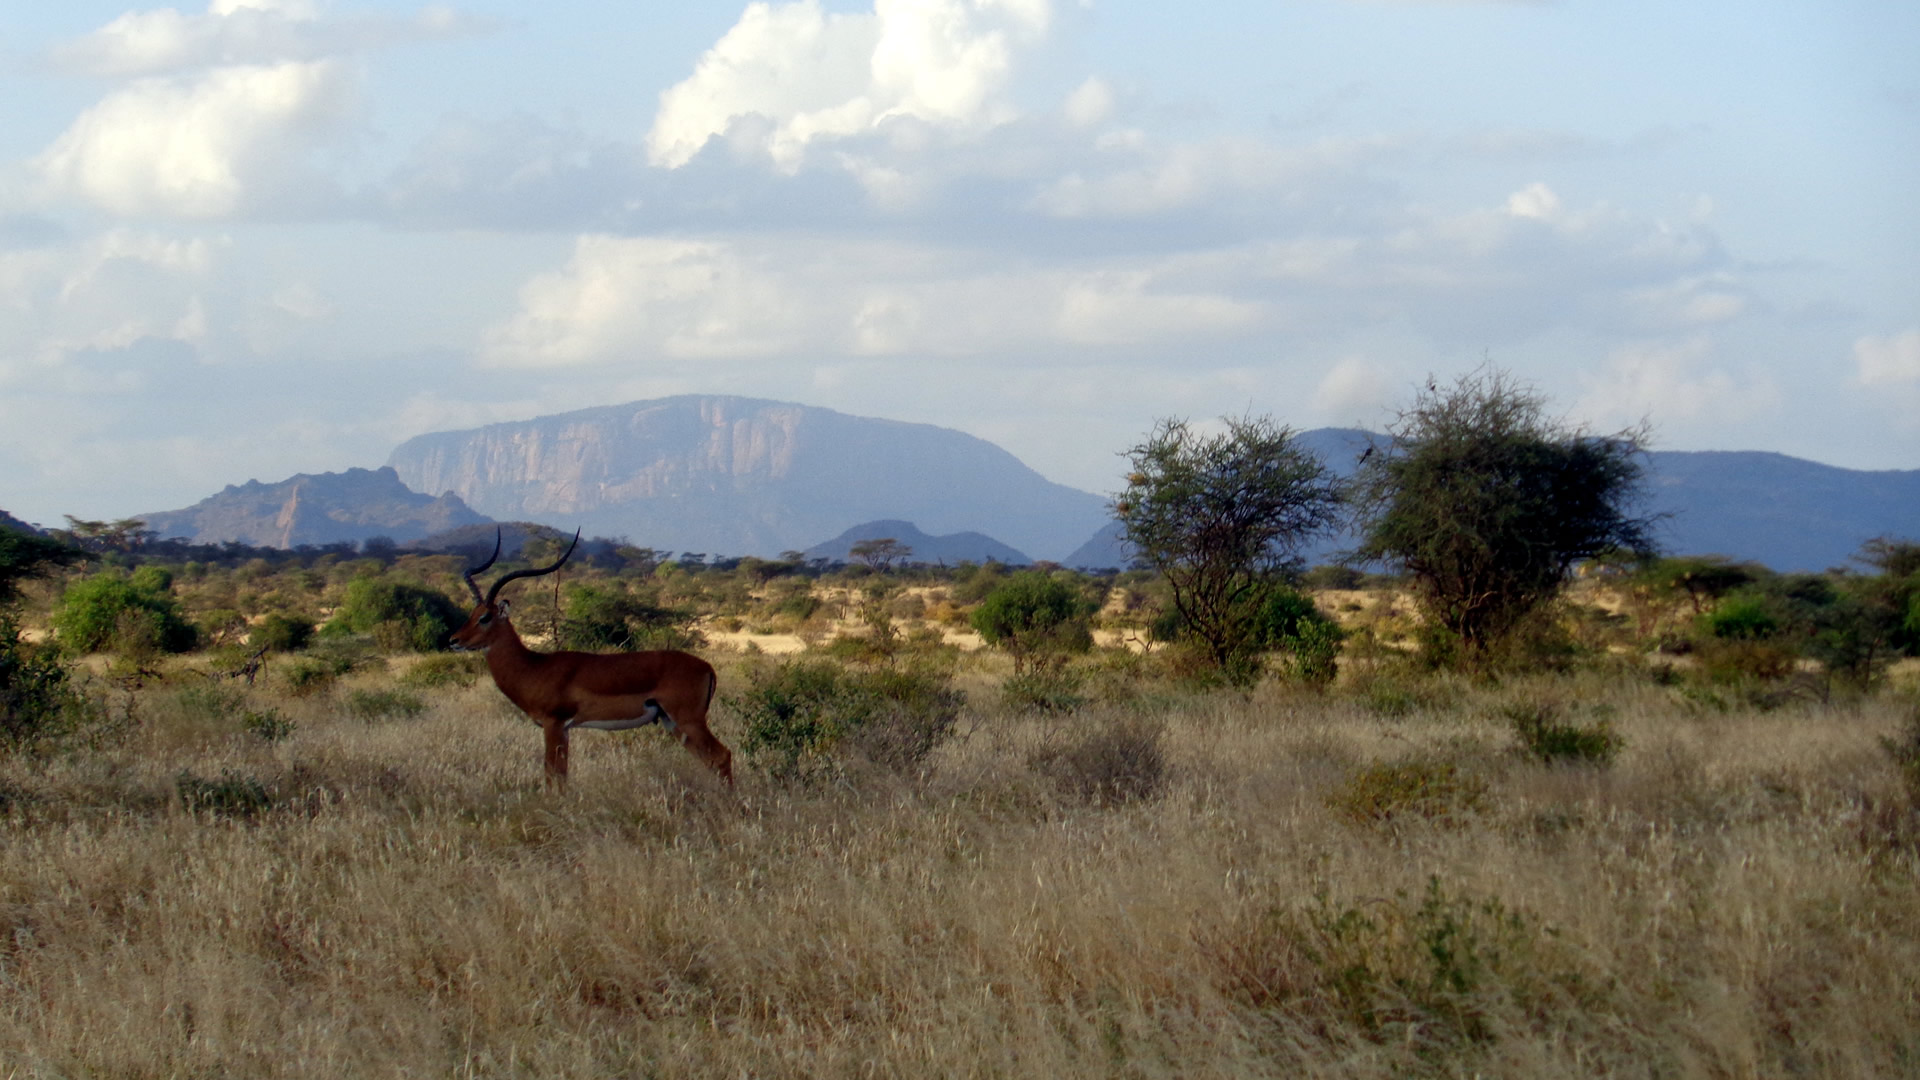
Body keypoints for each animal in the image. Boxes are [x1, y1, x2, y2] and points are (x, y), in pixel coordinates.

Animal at [449, 526, 733, 787]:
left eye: (485, 617)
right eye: (472, 613)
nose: (454, 640)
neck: (533, 667)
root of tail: (707, 667)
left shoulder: (554, 724)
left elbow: (552, 775)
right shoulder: (564, 729)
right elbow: (561, 775)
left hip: (688, 720)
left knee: (722, 756)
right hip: (671, 722)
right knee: (711, 760)